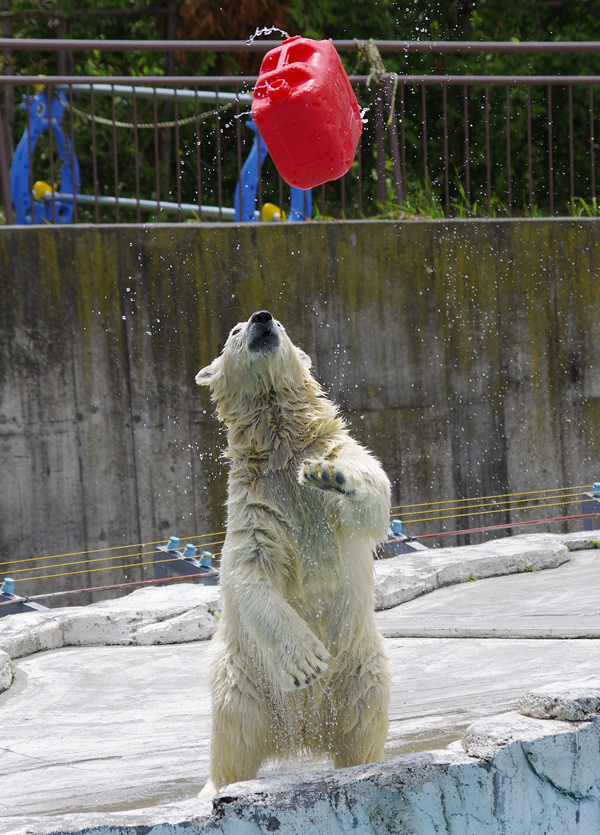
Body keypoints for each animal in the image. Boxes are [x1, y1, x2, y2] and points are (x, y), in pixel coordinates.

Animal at [197, 310, 392, 792]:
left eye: (281, 326)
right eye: (233, 332)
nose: (262, 319)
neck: (282, 450)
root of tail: (302, 734)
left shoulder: (335, 450)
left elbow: (373, 495)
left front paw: (330, 476)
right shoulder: (254, 509)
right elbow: (249, 575)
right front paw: (307, 664)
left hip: (361, 671)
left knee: (363, 725)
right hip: (242, 682)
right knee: (233, 743)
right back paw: (218, 785)